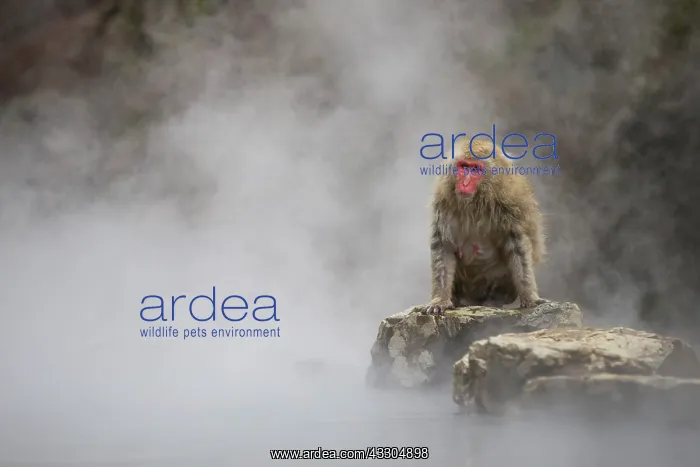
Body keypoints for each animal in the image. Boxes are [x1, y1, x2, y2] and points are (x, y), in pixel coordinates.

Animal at [419, 138, 547, 315]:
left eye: (475, 169)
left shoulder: (511, 203)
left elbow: (517, 245)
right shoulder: (443, 201)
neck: (476, 201)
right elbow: (443, 245)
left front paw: (530, 297)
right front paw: (440, 300)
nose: (465, 183)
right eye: (464, 167)